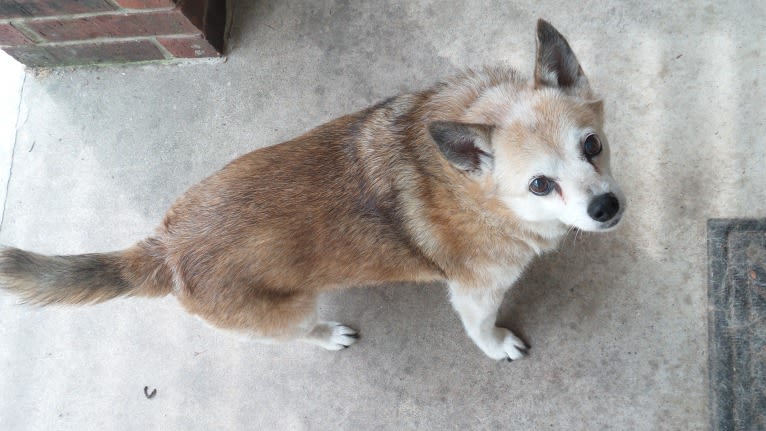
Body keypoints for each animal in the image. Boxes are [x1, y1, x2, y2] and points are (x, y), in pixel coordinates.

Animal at [0, 22, 624, 362]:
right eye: (540, 184)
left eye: (592, 145)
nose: (606, 207)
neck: (477, 190)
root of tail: (165, 251)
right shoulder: (475, 296)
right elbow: (482, 330)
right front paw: (499, 346)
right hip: (292, 312)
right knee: (301, 333)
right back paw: (329, 335)